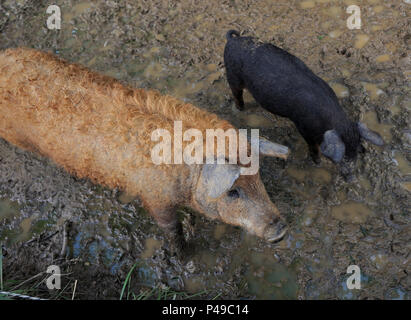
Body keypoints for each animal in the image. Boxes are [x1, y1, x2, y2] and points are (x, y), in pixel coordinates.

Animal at [224, 29, 384, 174]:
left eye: (355, 150)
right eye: (344, 154)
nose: (350, 177)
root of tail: (232, 40)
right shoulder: (303, 127)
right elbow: (313, 147)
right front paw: (318, 163)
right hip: (232, 76)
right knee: (237, 95)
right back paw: (240, 110)